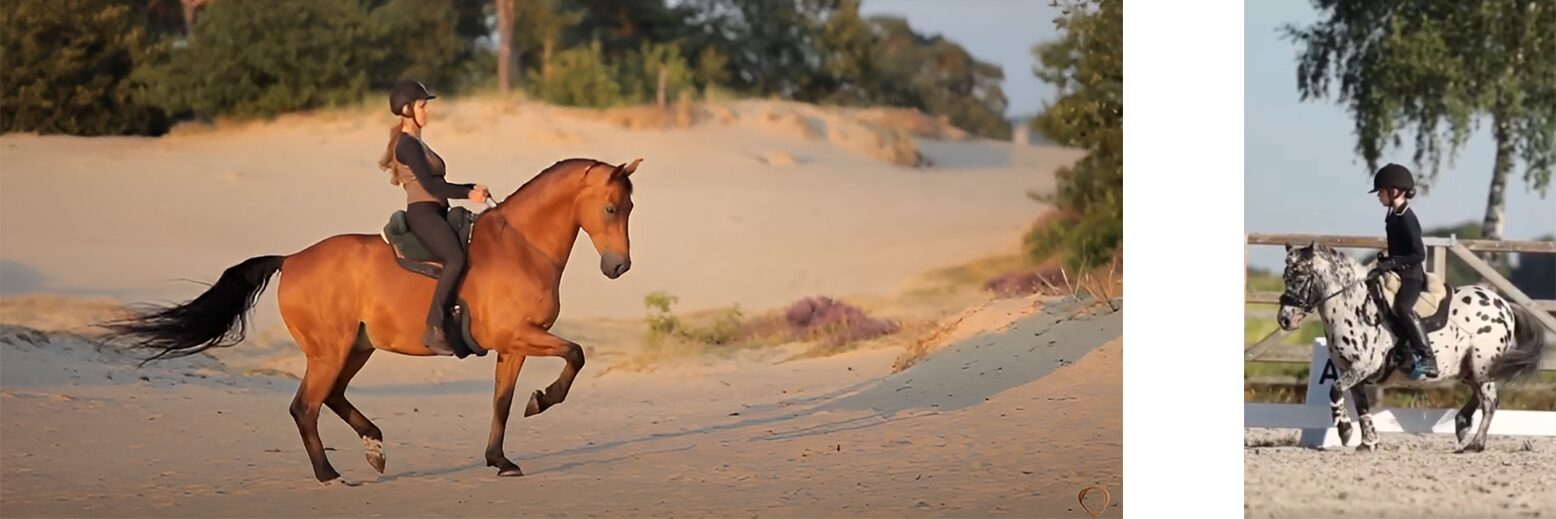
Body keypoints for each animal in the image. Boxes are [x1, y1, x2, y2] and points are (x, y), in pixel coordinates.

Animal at [105, 157, 641, 483]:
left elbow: (502, 404)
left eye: (630, 207)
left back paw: (374, 446)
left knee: (333, 398)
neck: (522, 246)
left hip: (355, 349)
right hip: (330, 351)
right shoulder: (522, 336)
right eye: (611, 207)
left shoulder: (513, 345)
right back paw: (329, 474)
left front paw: (500, 458)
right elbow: (576, 355)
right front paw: (544, 399)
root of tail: (291, 259)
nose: (619, 267)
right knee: (306, 407)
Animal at [1275, 243, 1548, 452]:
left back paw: (1475, 444)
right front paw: (1368, 442)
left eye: (1300, 277)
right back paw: (1462, 424)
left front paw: (1344, 431)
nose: (1285, 319)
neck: (1351, 306)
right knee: (1478, 396)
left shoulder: (1363, 366)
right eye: (1285, 278)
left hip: (1482, 365)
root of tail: (1505, 304)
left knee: (1490, 401)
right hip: (1467, 368)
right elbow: (1358, 404)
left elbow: (1334, 390)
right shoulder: (1348, 370)